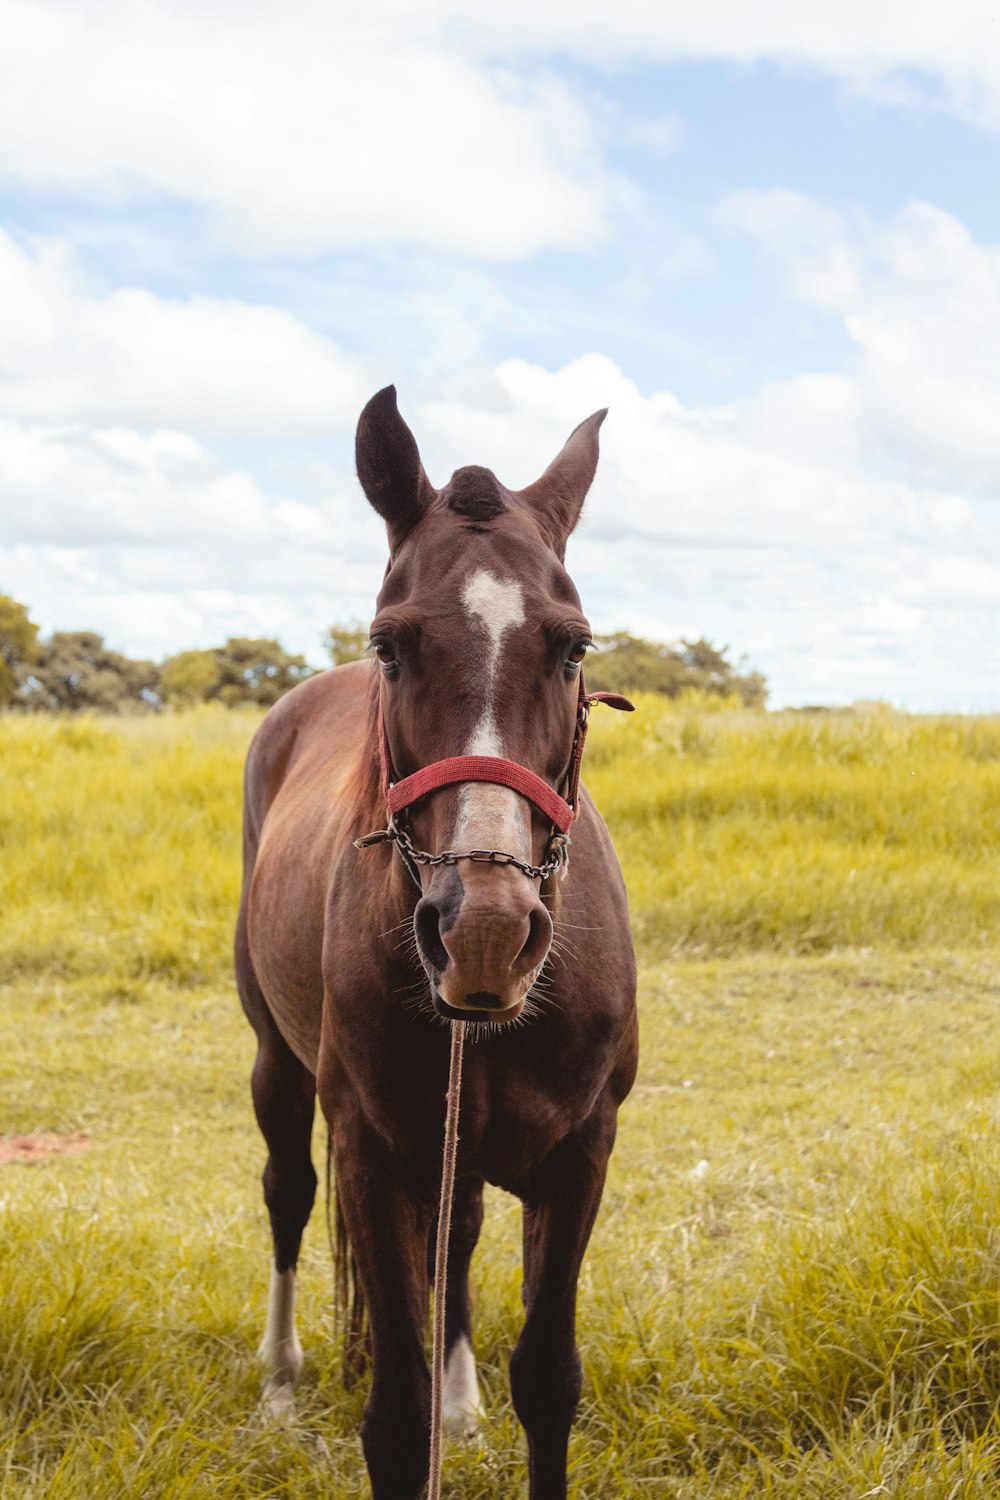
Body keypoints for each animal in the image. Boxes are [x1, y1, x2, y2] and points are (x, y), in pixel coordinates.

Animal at [236, 390, 632, 1500]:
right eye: (390, 646)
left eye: (574, 648)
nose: (484, 932)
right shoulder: (372, 1152)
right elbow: (393, 1410)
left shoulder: (583, 1151)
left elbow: (548, 1378)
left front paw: (470, 1399)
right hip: (278, 1062)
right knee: (288, 1195)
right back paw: (280, 1382)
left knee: (455, 1237)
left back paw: (463, 1404)